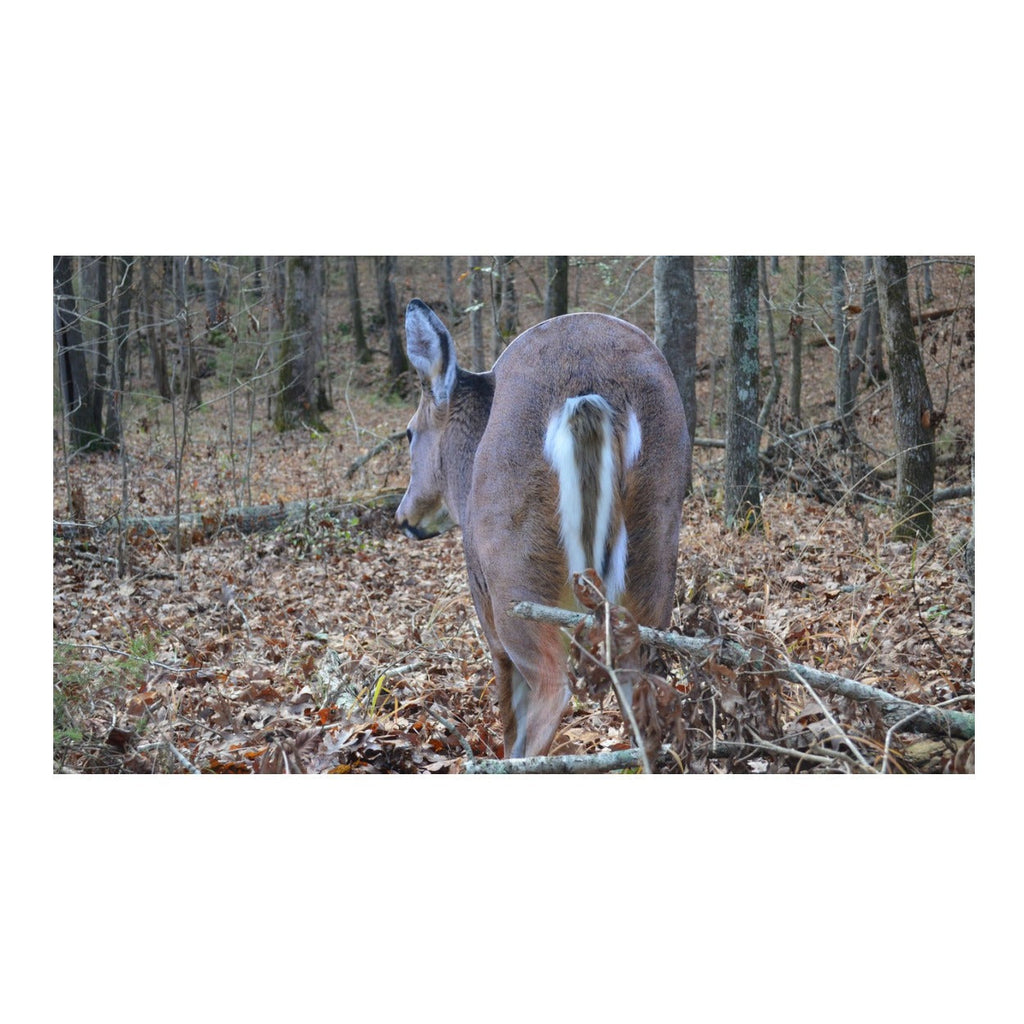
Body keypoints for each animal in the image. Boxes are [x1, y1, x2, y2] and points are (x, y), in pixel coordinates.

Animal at [396, 299, 692, 759]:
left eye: (409, 433)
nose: (403, 516)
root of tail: (590, 397)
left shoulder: (487, 612)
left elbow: (508, 717)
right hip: (653, 567)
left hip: (517, 582)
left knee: (550, 699)